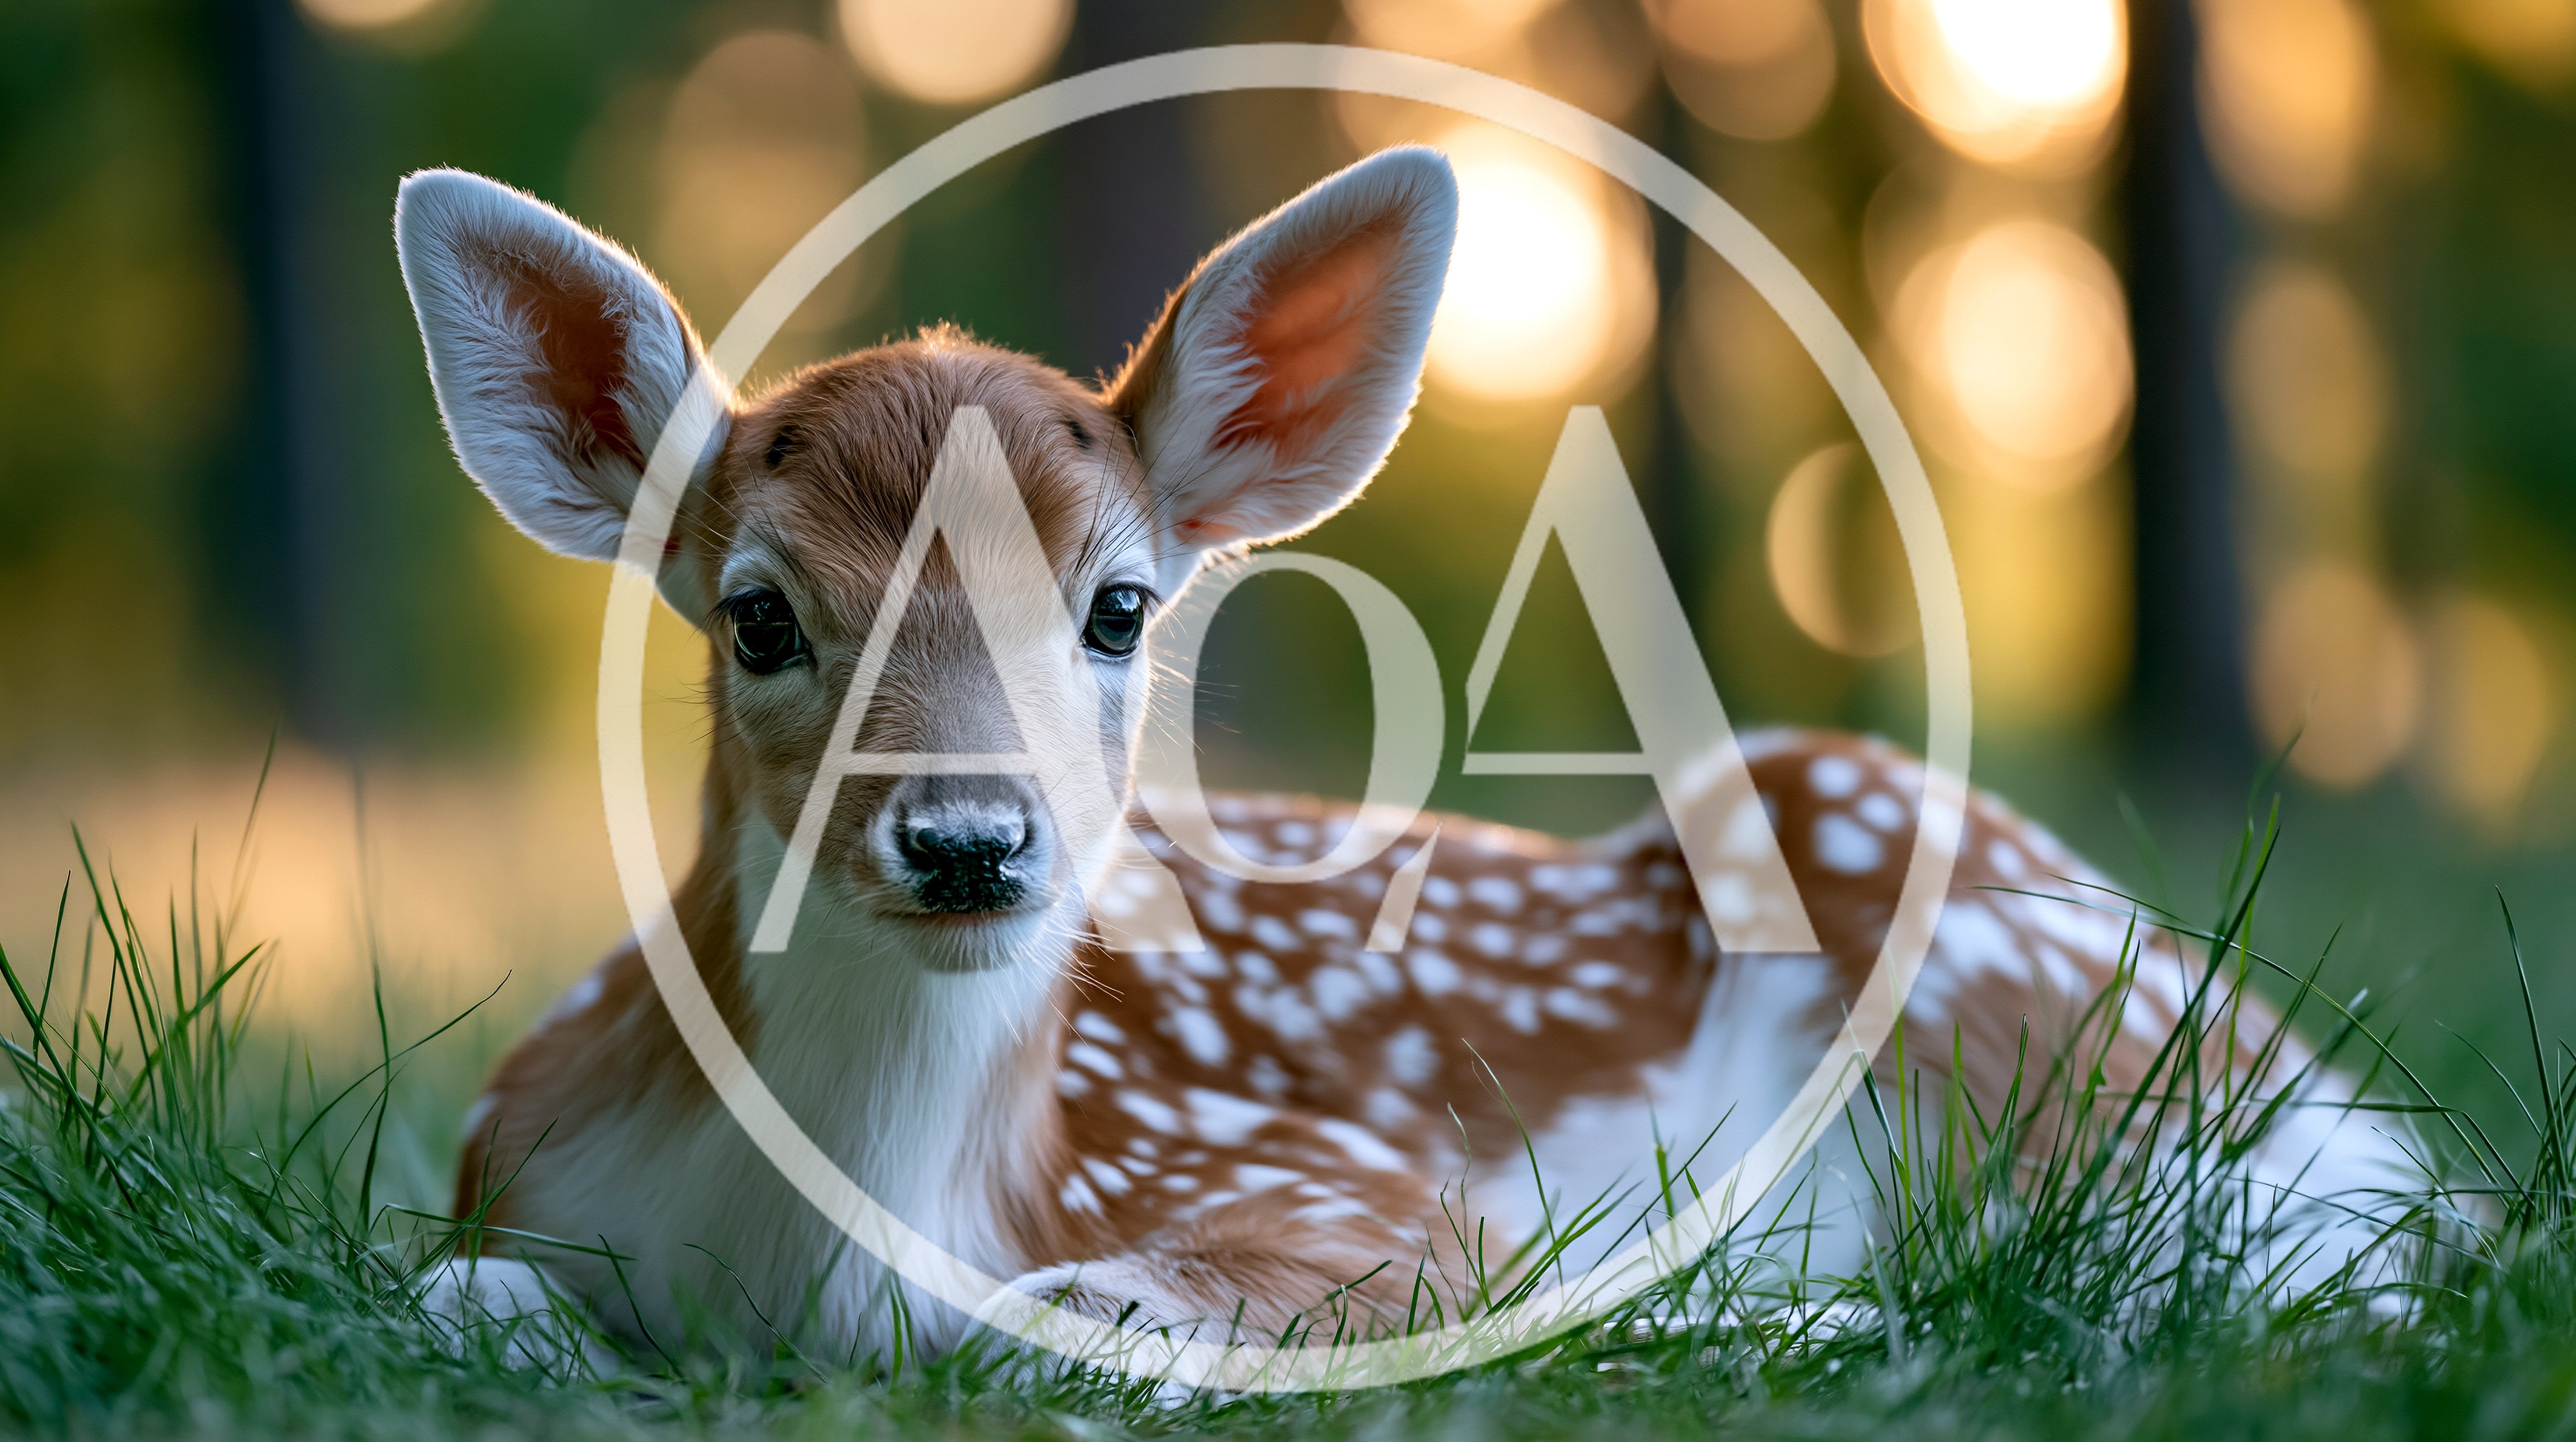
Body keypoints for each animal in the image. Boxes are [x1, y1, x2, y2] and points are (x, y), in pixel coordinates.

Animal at [393, 146, 2413, 1368]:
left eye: (1116, 607)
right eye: (757, 616)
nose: (969, 841)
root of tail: (2332, 1097)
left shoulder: (1360, 1194)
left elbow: (1067, 1312)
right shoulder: (504, 1169)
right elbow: (449, 1289)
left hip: (2041, 1037)